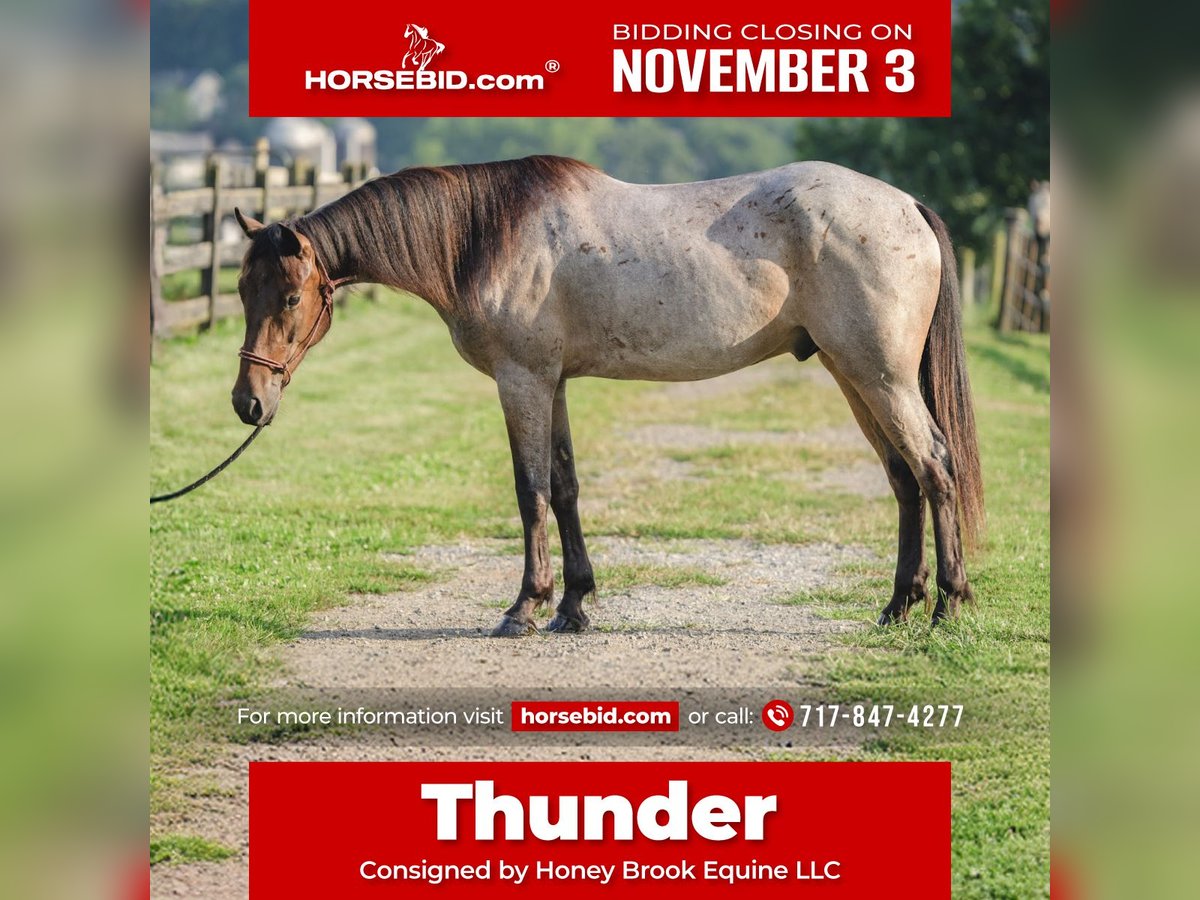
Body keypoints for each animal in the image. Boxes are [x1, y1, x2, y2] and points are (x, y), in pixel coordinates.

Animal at [231, 156, 984, 636]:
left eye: (291, 297)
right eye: (242, 290)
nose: (248, 402)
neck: (486, 233)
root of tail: (906, 206)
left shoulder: (523, 380)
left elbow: (530, 489)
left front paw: (525, 607)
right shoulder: (554, 383)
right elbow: (564, 488)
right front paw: (573, 605)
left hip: (879, 378)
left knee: (935, 469)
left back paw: (947, 605)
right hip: (851, 375)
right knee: (905, 480)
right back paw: (899, 605)